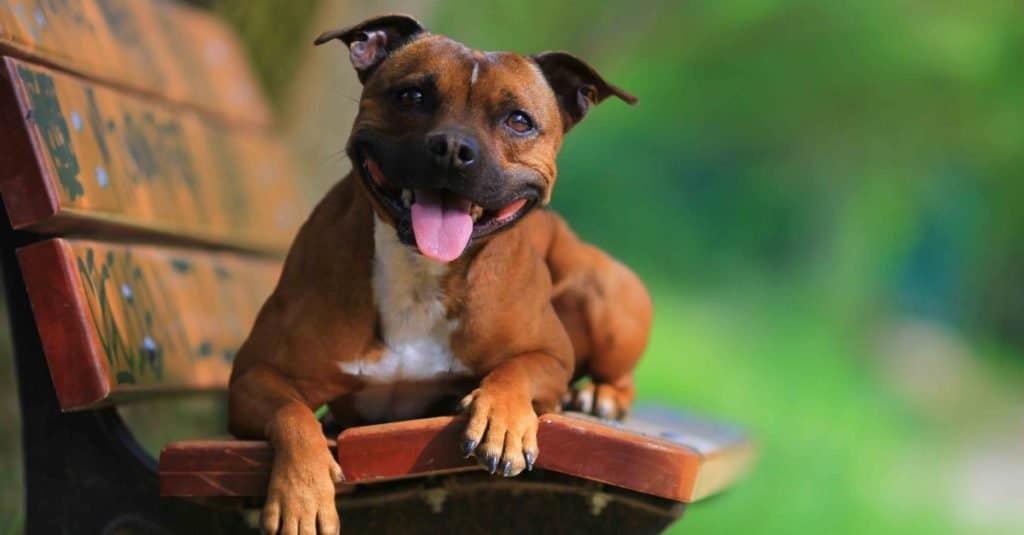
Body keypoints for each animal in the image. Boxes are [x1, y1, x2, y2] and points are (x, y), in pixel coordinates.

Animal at [228, 13, 651, 532]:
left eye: (519, 120)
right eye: (412, 95)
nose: (453, 147)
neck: (421, 272)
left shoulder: (551, 356)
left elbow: (517, 370)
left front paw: (502, 420)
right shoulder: (252, 375)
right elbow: (292, 413)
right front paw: (302, 494)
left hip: (603, 292)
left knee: (619, 372)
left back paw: (601, 396)